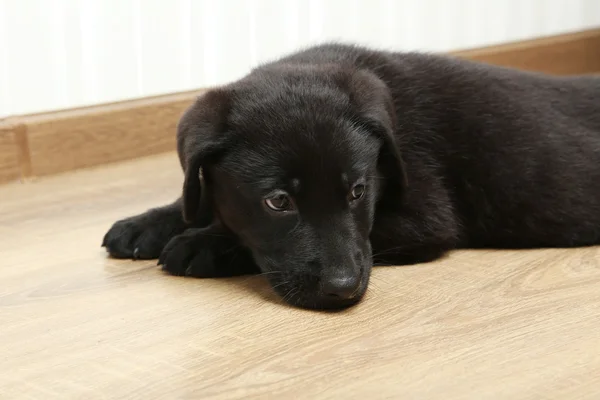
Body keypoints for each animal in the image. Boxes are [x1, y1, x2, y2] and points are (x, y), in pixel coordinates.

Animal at [102, 43, 600, 310]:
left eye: (359, 191)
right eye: (278, 201)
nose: (341, 289)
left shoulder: (425, 216)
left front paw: (203, 243)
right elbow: (198, 195)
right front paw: (147, 223)